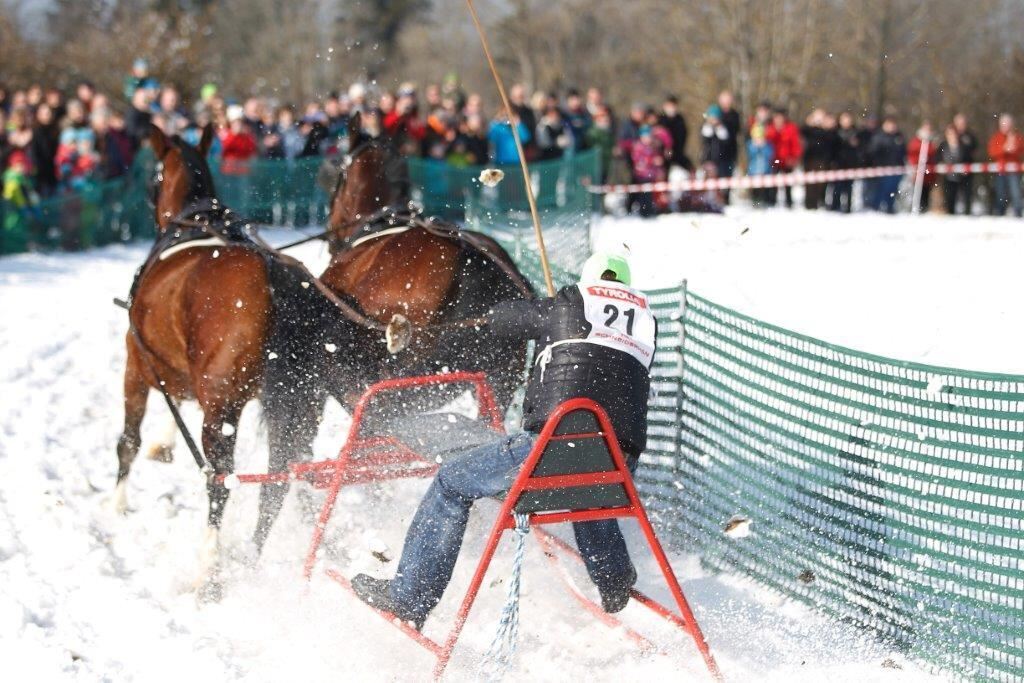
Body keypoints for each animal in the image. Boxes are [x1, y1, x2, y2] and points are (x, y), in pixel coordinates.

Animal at [117, 121, 372, 589]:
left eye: (154, 176)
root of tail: (273, 277)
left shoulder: (137, 365)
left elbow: (128, 440)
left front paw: (115, 506)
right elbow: (176, 398)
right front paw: (164, 443)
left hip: (223, 409)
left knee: (220, 479)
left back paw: (208, 566)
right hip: (301, 401)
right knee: (282, 476)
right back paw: (257, 554)